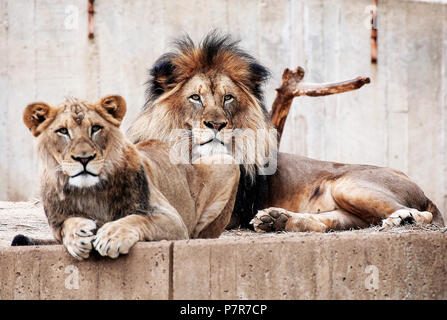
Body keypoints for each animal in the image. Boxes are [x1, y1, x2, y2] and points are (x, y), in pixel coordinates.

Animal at [16, 95, 242, 260]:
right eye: (63, 131)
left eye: (95, 128)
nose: (84, 158)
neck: (90, 191)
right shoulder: (56, 224)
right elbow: (65, 226)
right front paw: (77, 235)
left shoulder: (173, 220)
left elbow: (138, 219)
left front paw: (111, 236)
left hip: (226, 162)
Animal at [126, 32, 444, 231]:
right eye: (195, 97)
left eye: (228, 98)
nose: (216, 125)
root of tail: (419, 186)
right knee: (329, 222)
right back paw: (277, 220)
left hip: (350, 185)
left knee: (424, 214)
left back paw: (402, 219)